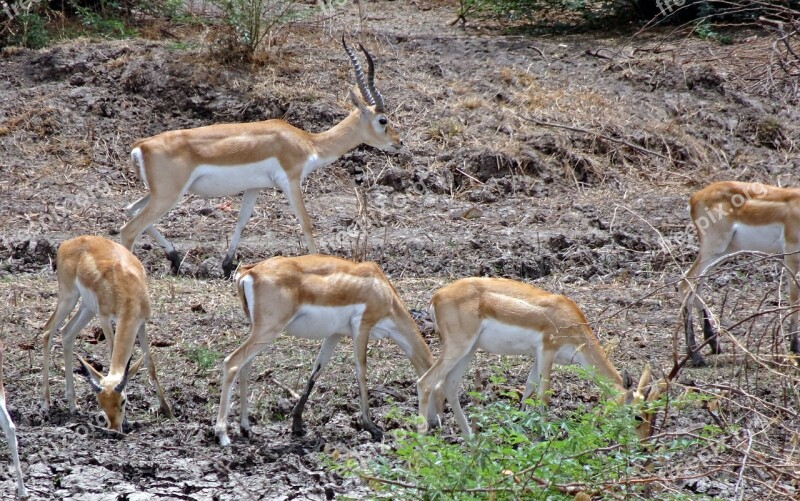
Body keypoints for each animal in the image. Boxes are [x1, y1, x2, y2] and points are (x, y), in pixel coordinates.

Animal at [41, 236, 173, 432]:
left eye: (123, 400)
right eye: (100, 403)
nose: (114, 429)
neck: (127, 288)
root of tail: (68, 242)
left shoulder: (141, 323)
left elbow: (150, 363)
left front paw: (167, 410)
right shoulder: (105, 318)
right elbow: (112, 353)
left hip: (87, 307)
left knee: (66, 333)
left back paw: (73, 405)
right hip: (69, 297)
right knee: (48, 331)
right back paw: (45, 404)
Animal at [121, 36, 404, 276]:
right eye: (383, 120)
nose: (398, 142)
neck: (307, 142)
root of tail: (141, 145)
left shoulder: (255, 186)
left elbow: (242, 219)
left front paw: (227, 265)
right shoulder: (291, 180)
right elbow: (306, 222)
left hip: (159, 194)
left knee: (130, 209)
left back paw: (175, 258)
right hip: (169, 195)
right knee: (129, 229)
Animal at [214, 254, 444, 446]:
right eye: (439, 390)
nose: (436, 424)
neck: (381, 289)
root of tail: (249, 272)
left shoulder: (335, 334)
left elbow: (317, 370)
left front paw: (297, 425)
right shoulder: (362, 327)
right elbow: (361, 372)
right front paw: (372, 428)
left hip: (259, 332)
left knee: (244, 367)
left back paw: (246, 428)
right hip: (268, 331)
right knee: (232, 363)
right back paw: (223, 435)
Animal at [418, 278, 664, 438]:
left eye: (652, 415)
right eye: (637, 417)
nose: (643, 444)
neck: (571, 320)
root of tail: (436, 297)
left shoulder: (537, 357)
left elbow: (528, 388)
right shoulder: (547, 351)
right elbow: (544, 395)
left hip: (469, 349)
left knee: (449, 384)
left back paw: (470, 438)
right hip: (458, 346)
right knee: (426, 382)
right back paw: (421, 442)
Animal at [680, 182, 800, 366]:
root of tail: (694, 198)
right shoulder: (791, 255)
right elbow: (794, 298)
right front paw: (795, 350)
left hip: (722, 253)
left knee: (697, 285)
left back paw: (714, 345)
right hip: (713, 248)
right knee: (686, 285)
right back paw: (696, 357)